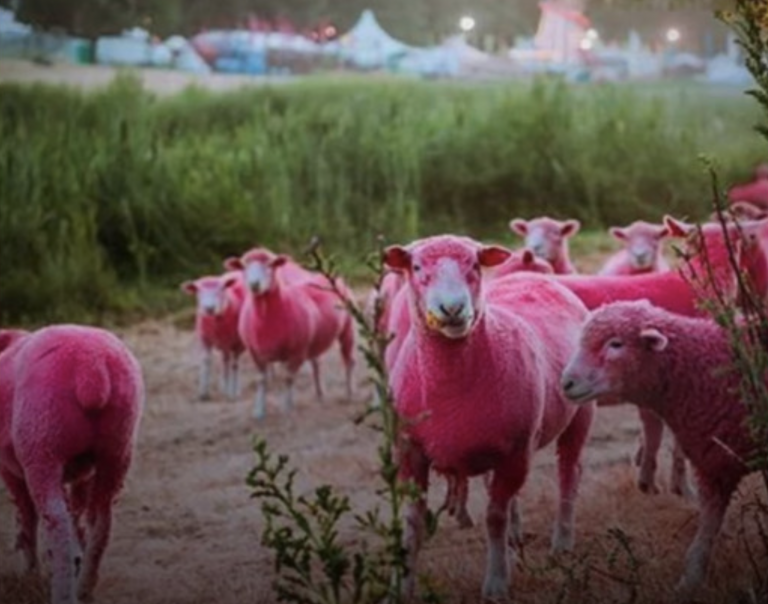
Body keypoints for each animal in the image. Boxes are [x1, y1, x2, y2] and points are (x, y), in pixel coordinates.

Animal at [0, 326, 143, 604]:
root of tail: (92, 365)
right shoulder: (83, 474)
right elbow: (76, 512)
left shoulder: (10, 469)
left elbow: (26, 516)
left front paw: (29, 574)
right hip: (117, 450)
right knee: (100, 519)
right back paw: (85, 586)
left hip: (42, 448)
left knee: (57, 522)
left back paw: (63, 591)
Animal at [179, 270, 243, 402]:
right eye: (198, 290)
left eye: (222, 288)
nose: (209, 308)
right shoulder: (205, 339)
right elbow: (206, 361)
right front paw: (203, 393)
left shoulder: (234, 343)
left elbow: (232, 365)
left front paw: (231, 392)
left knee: (234, 363)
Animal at [222, 245, 354, 420]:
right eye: (243, 267)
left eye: (271, 265)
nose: (254, 284)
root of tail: (329, 277)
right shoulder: (255, 352)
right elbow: (262, 380)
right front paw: (259, 412)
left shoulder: (297, 352)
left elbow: (288, 379)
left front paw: (286, 408)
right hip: (313, 342)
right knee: (316, 364)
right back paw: (319, 394)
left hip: (347, 329)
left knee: (348, 361)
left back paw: (349, 394)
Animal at [560, 302, 764, 600]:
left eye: (616, 344)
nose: (566, 383)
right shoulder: (714, 462)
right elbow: (706, 531)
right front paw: (690, 581)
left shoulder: (717, 462)